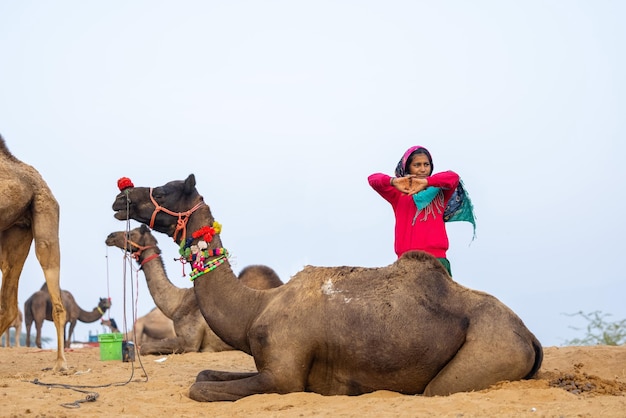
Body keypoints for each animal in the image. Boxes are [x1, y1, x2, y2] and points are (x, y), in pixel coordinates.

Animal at [112, 174, 540, 402]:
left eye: (163, 190)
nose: (121, 196)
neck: (255, 307)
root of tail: (529, 336)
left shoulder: (283, 378)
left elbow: (199, 389)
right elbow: (203, 374)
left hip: (487, 352)